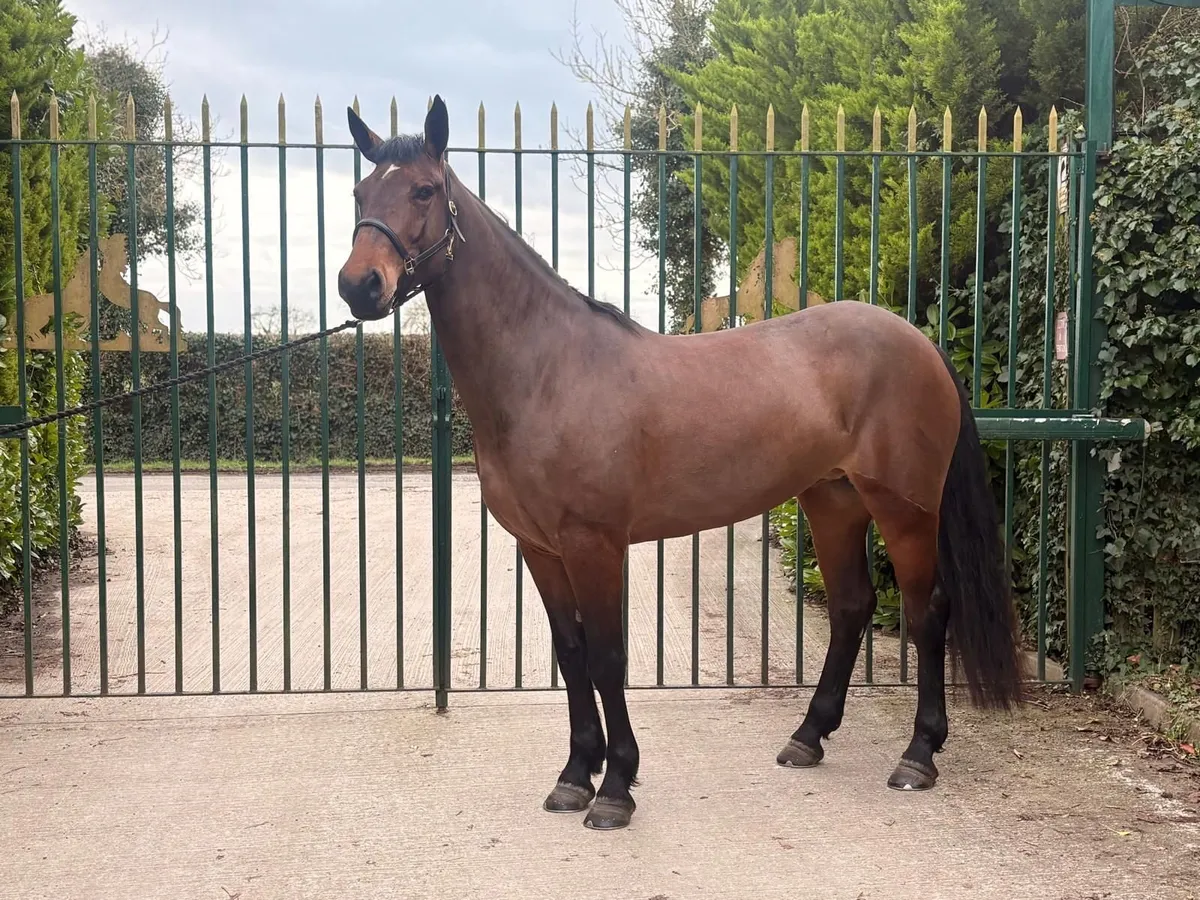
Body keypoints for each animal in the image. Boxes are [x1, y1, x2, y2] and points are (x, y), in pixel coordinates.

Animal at [336, 96, 1023, 831]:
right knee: (850, 606)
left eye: (423, 190)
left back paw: (918, 755)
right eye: (360, 192)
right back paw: (808, 737)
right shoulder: (540, 548)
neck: (546, 371)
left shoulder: (594, 544)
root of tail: (919, 341)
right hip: (831, 499)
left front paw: (616, 787)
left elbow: (607, 658)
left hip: (903, 509)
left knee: (927, 613)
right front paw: (575, 775)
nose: (358, 286)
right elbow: (571, 655)